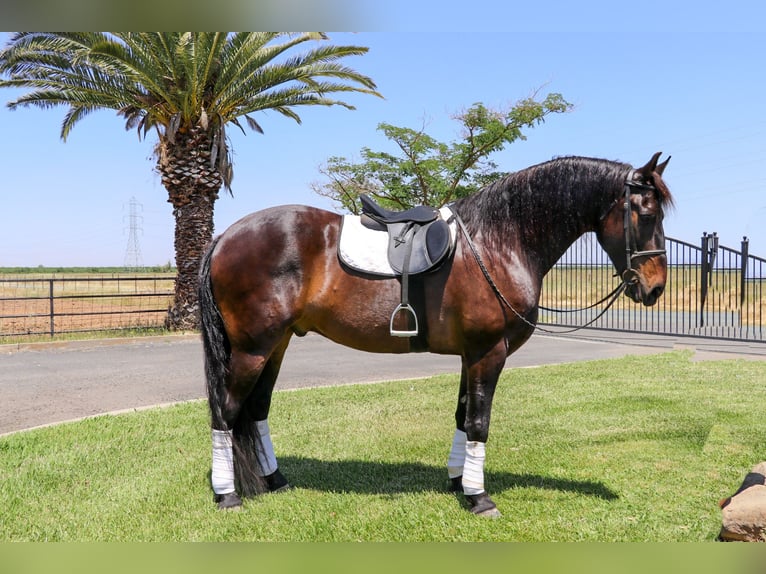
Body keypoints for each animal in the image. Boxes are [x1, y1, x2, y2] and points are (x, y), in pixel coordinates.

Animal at [198, 152, 672, 516]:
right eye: (647, 214)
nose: (655, 288)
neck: (498, 242)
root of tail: (224, 237)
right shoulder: (488, 352)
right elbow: (480, 421)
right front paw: (480, 498)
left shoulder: (471, 355)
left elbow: (463, 417)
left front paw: (459, 481)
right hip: (252, 348)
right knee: (226, 412)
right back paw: (228, 495)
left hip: (275, 345)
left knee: (256, 410)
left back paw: (275, 480)